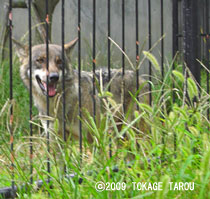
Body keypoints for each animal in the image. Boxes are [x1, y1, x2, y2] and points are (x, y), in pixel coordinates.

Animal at [13, 38, 148, 141]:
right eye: (40, 60)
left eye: (59, 61)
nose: (54, 77)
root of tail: (141, 78)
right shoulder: (55, 140)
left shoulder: (92, 138)